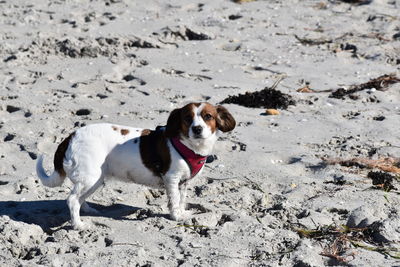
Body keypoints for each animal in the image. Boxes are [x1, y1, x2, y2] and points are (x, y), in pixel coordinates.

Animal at [36, 103, 236, 230]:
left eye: (208, 116)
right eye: (188, 118)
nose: (197, 129)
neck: (188, 145)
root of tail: (71, 136)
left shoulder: (184, 182)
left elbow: (181, 200)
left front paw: (182, 213)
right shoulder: (171, 179)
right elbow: (173, 201)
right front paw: (176, 217)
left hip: (94, 179)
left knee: (79, 199)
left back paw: (87, 211)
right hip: (89, 177)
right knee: (72, 200)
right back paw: (78, 225)